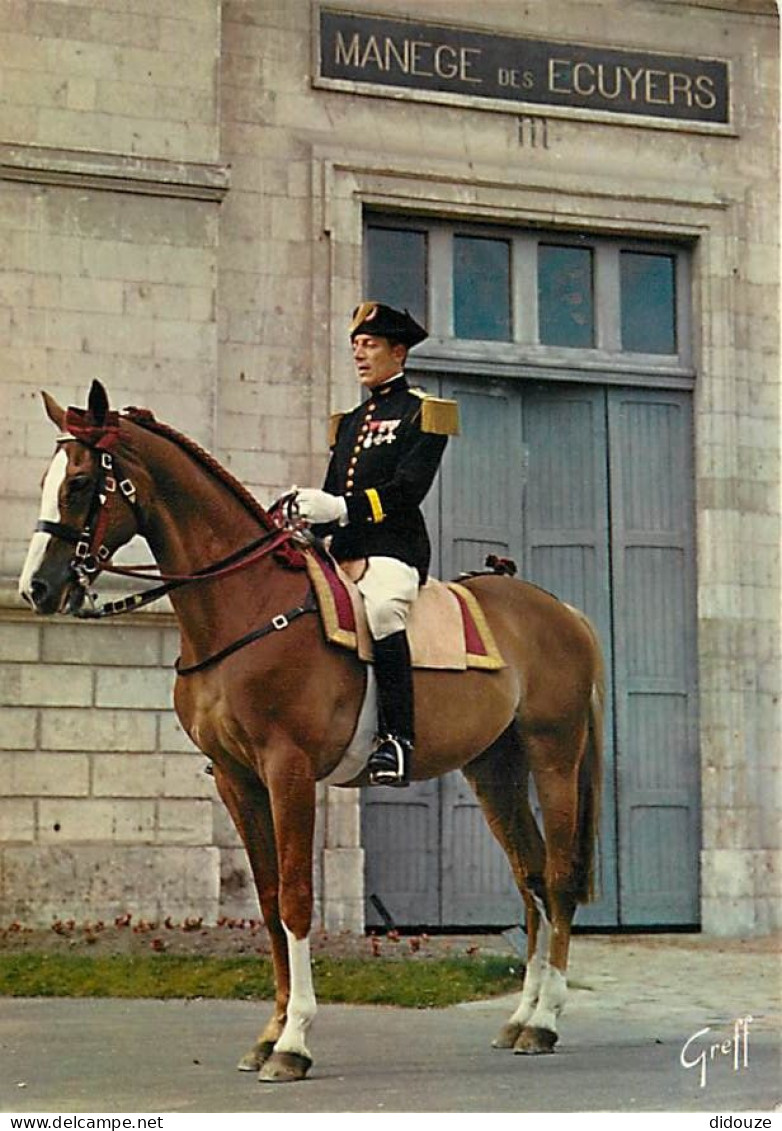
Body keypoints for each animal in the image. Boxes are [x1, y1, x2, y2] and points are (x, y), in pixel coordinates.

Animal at [18, 382, 606, 1085]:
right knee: (530, 879)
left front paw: (294, 1040)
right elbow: (270, 900)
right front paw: (270, 1032)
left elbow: (298, 899)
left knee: (559, 877)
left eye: (81, 483)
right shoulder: (236, 779)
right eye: (47, 479)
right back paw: (521, 1017)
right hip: (495, 770)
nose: (35, 588)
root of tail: (561, 609)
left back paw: (546, 1020)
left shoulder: (287, 770)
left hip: (553, 758)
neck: (246, 606)